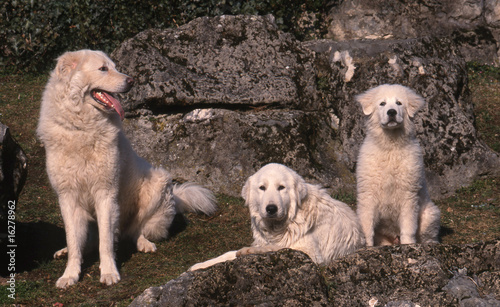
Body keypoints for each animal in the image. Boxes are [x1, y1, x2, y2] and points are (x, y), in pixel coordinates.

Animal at [38, 50, 218, 288]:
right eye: (103, 69)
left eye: (115, 67)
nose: (132, 81)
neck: (82, 127)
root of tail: (176, 197)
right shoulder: (67, 197)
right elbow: (74, 239)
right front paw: (70, 274)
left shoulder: (106, 194)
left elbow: (106, 241)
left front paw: (109, 272)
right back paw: (65, 250)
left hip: (156, 186)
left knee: (136, 231)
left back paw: (144, 243)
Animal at [189, 164, 366, 272]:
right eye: (262, 188)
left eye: (281, 187)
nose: (271, 208)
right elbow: (227, 254)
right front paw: (199, 266)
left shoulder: (311, 254)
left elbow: (277, 247)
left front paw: (249, 251)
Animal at [356, 85, 442, 248]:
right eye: (382, 104)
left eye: (399, 103)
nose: (392, 112)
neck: (390, 147)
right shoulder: (368, 194)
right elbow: (367, 227)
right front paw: (368, 247)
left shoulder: (409, 194)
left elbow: (408, 228)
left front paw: (408, 245)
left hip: (429, 215)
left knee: (428, 237)